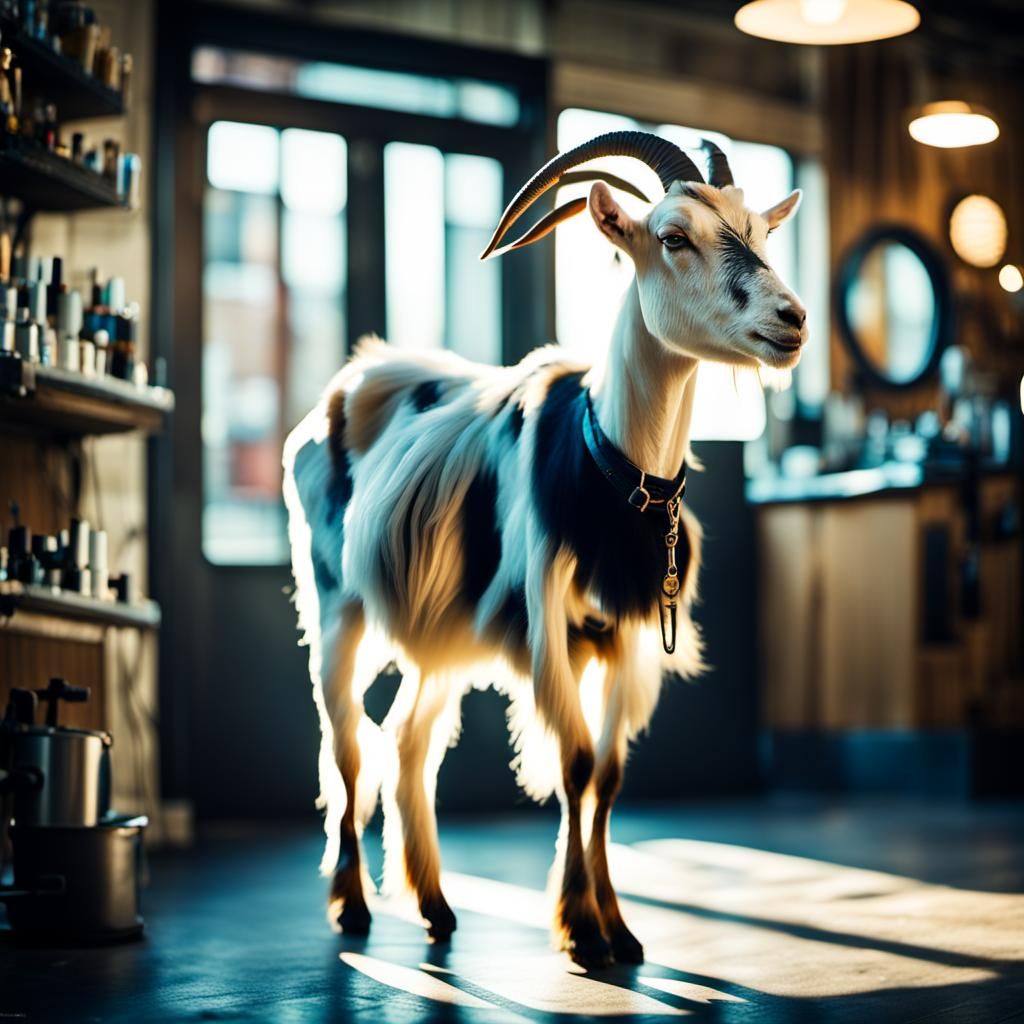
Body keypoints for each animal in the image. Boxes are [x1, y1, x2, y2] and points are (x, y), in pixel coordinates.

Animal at [283, 132, 807, 968]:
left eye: (759, 230)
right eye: (672, 236)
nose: (791, 319)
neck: (615, 469)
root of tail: (346, 384)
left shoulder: (628, 634)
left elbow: (610, 776)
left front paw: (619, 928)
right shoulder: (546, 629)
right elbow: (575, 764)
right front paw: (579, 929)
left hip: (441, 637)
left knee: (408, 740)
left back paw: (435, 907)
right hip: (338, 607)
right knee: (346, 746)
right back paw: (352, 906)